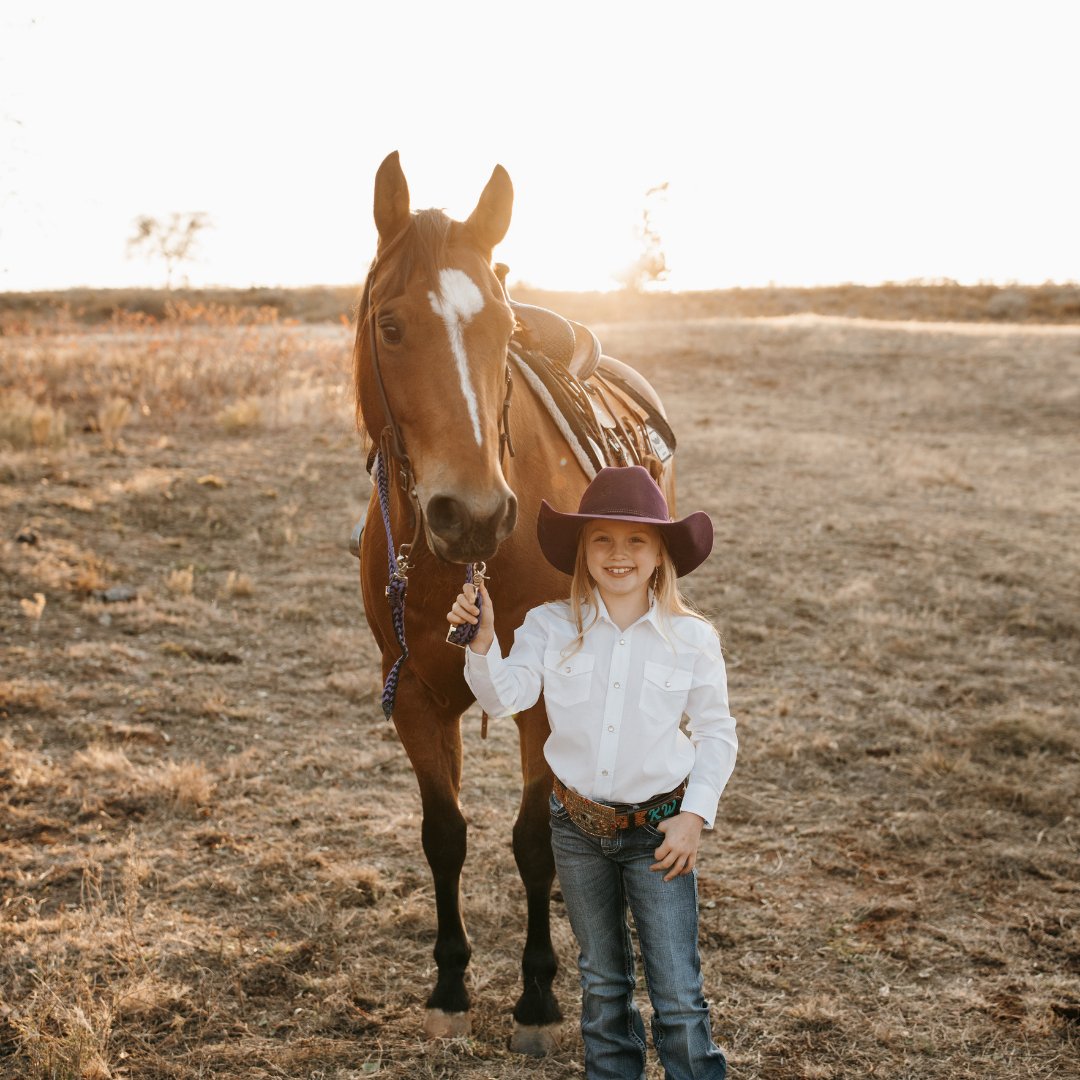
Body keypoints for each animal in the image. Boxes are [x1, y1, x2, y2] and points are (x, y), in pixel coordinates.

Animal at [352, 151, 678, 1052]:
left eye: (500, 332)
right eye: (391, 326)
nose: (473, 515)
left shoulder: (542, 707)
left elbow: (533, 842)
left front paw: (536, 994)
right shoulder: (415, 697)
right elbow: (445, 835)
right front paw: (449, 982)